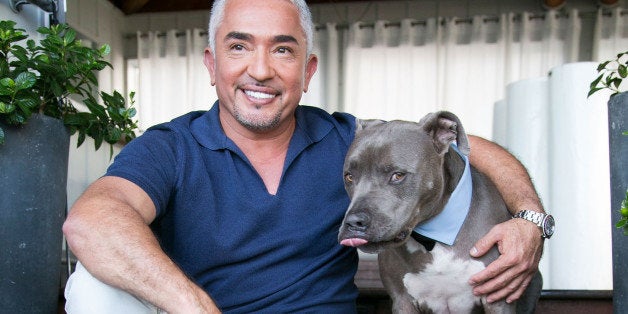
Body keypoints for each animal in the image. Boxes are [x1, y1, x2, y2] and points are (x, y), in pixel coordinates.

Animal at [338, 112, 540, 314]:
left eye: (398, 175)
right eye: (349, 176)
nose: (353, 222)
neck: (434, 237)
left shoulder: (497, 299)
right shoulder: (403, 301)